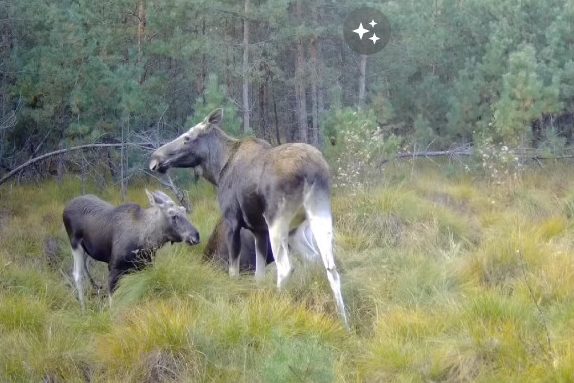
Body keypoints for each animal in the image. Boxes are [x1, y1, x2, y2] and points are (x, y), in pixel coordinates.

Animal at [63, 190, 201, 310]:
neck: (146, 242)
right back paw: (83, 307)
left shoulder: (145, 267)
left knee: (86, 268)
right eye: (173, 215)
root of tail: (66, 208)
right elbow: (113, 302)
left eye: (183, 210)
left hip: (87, 251)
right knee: (77, 274)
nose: (196, 236)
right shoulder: (113, 269)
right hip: (75, 245)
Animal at [151, 109, 348, 328]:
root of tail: (312, 172)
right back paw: (344, 322)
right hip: (312, 218)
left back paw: (278, 309)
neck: (217, 170)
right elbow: (258, 275)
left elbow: (233, 271)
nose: (156, 157)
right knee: (330, 266)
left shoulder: (233, 222)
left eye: (187, 137)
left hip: (277, 221)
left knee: (286, 268)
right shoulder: (258, 230)